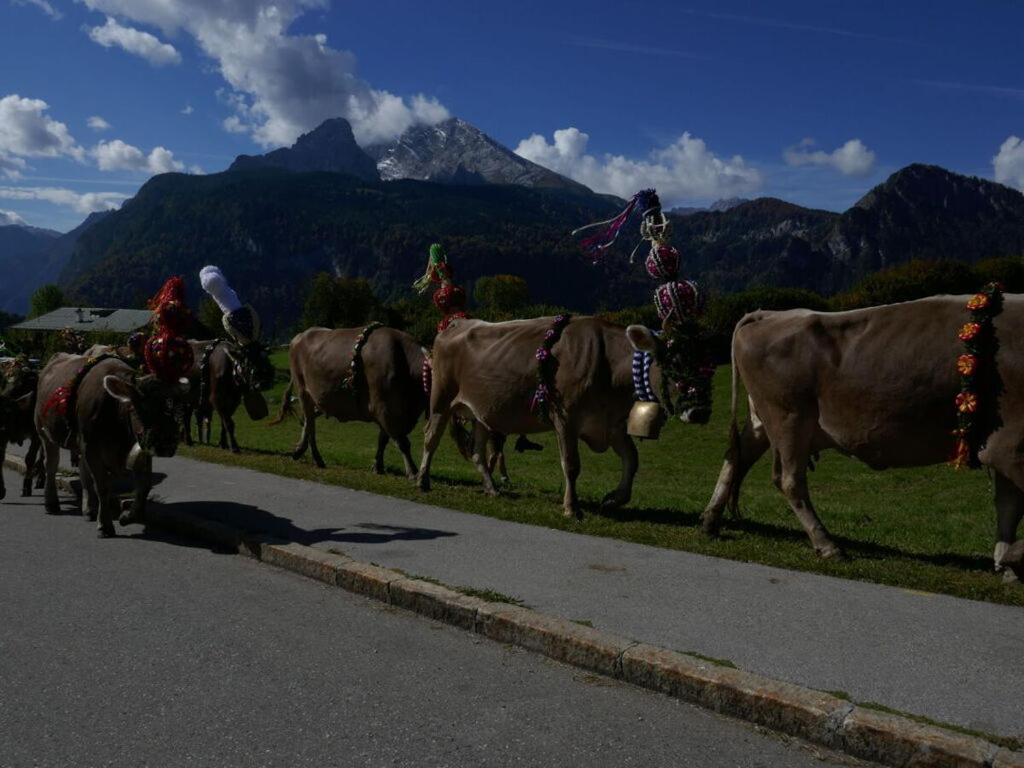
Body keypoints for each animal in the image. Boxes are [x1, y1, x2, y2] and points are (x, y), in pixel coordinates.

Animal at [35, 354, 186, 536]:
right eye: (143, 407)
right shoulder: (92, 447)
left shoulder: (140, 445)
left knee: (83, 470)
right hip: (44, 432)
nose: (166, 444)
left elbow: (144, 486)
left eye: (174, 404)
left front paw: (129, 516)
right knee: (51, 465)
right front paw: (105, 525)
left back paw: (89, 509)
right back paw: (51, 503)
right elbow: (103, 487)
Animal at [415, 315, 696, 520]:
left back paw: (491, 488)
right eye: (674, 364)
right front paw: (572, 508)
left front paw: (614, 499)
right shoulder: (566, 419)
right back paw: (422, 480)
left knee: (477, 451)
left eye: (703, 361)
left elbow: (632, 460)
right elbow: (571, 464)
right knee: (431, 437)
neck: (609, 366)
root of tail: (455, 324)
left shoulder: (613, 425)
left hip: (481, 413)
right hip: (441, 400)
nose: (697, 410)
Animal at [704, 296, 1024, 573]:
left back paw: (710, 520)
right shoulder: (1008, 445)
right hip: (789, 417)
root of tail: (769, 314)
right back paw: (827, 545)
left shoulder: (1004, 448)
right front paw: (1011, 560)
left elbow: (1008, 506)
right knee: (789, 480)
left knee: (736, 455)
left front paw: (1004, 562)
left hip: (766, 418)